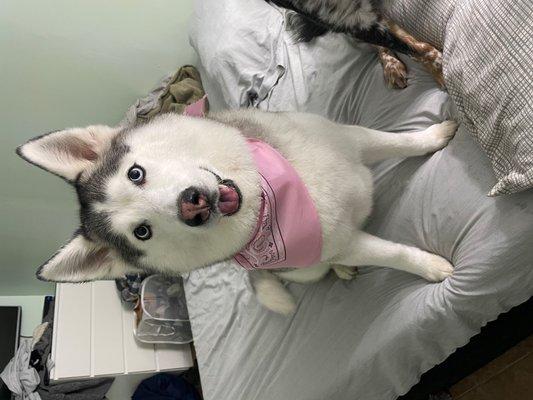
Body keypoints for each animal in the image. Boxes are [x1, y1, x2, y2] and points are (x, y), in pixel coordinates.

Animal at [17, 110, 458, 316]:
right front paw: (433, 268)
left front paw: (433, 136)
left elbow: (395, 142)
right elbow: (393, 253)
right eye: (142, 232)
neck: (265, 198)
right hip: (305, 267)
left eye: (135, 173)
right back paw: (340, 270)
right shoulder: (345, 242)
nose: (192, 203)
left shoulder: (346, 138)